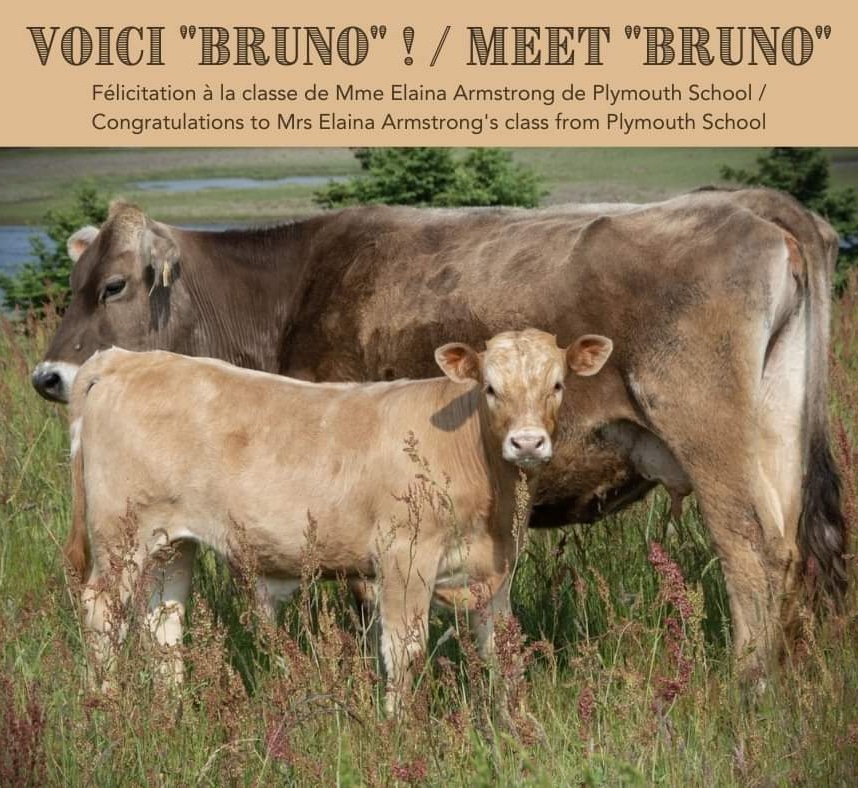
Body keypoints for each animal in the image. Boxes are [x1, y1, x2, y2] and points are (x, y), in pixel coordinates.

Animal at [70, 329, 614, 709]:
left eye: (557, 385)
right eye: (491, 388)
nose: (527, 442)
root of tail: (126, 358)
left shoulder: (493, 570)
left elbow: (502, 650)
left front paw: (516, 727)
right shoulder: (403, 558)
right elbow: (405, 649)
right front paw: (399, 727)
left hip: (169, 544)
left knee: (163, 622)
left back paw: (173, 713)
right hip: (121, 536)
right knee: (101, 612)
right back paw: (106, 709)